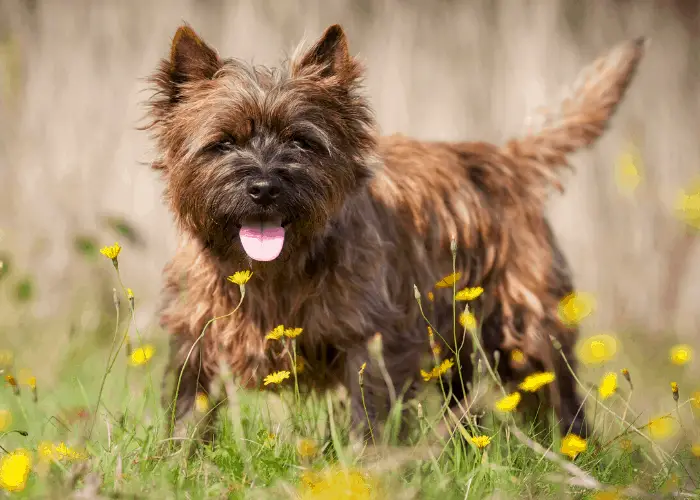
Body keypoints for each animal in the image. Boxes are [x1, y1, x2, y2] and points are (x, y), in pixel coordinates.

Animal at [144, 22, 644, 442]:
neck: (273, 271)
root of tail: (508, 159)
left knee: (557, 392)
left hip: (524, 326)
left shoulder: (373, 339)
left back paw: (572, 450)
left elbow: (369, 414)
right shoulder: (196, 332)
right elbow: (188, 406)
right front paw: (181, 459)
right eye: (223, 142)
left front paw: (365, 467)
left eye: (301, 142)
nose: (264, 187)